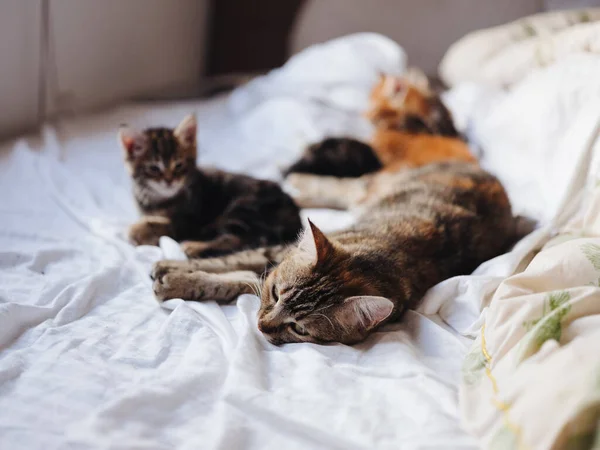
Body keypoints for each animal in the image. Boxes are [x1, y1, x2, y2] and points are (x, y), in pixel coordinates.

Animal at [119, 114, 302, 258]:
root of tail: (294, 214)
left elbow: (167, 224)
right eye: (154, 169)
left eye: (179, 165)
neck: (160, 199)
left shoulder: (190, 220)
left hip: (242, 207)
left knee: (238, 239)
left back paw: (193, 247)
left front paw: (139, 230)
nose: (170, 181)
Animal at [150, 162, 520, 344]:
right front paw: (174, 265)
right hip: (369, 188)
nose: (262, 326)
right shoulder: (275, 255)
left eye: (299, 330)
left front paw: (176, 279)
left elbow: (238, 278)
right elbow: (235, 263)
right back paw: (297, 183)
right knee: (341, 187)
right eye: (275, 294)